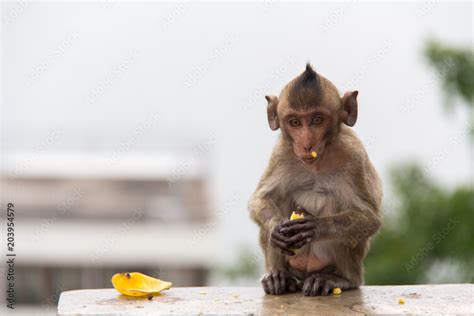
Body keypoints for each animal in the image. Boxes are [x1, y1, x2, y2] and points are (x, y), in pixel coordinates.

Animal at [250, 62, 384, 296]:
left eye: (317, 120)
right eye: (295, 122)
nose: (306, 144)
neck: (317, 164)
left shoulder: (354, 156)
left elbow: (370, 218)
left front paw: (316, 227)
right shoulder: (281, 153)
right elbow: (261, 199)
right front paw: (276, 227)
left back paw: (339, 279)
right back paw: (277, 276)